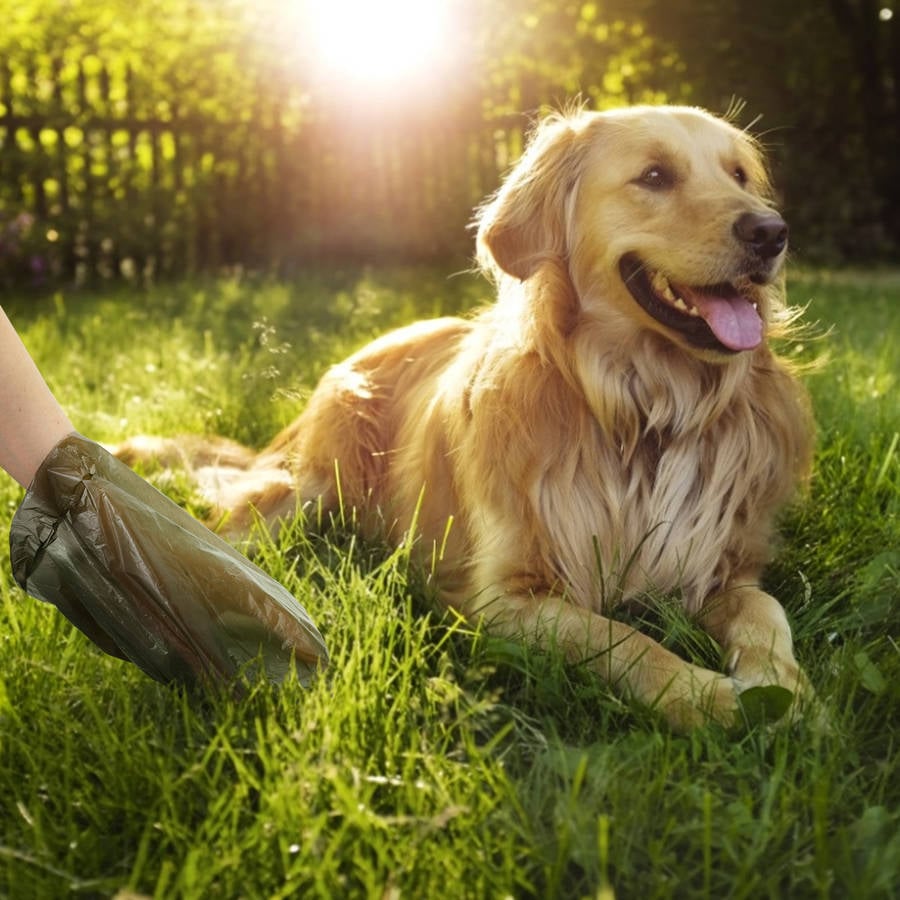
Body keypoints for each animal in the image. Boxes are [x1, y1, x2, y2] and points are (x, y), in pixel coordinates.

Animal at [114, 107, 816, 732]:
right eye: (654, 176)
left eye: (739, 176)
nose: (772, 232)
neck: (643, 411)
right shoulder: (504, 597)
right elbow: (622, 637)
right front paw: (705, 696)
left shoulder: (719, 564)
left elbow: (764, 610)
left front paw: (780, 686)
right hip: (312, 488)